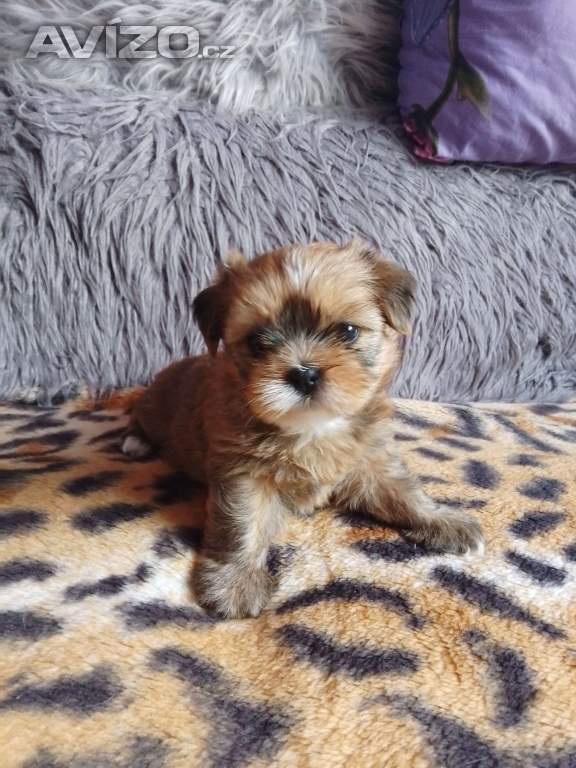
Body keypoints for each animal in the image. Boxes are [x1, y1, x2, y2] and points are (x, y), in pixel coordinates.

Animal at [122, 240, 483, 618]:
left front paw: (441, 520)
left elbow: (403, 492)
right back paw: (135, 442)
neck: (315, 427)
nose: (305, 374)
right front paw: (235, 581)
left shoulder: (370, 460)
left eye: (348, 331)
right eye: (257, 342)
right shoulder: (244, 474)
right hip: (154, 406)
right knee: (137, 414)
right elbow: (242, 525)